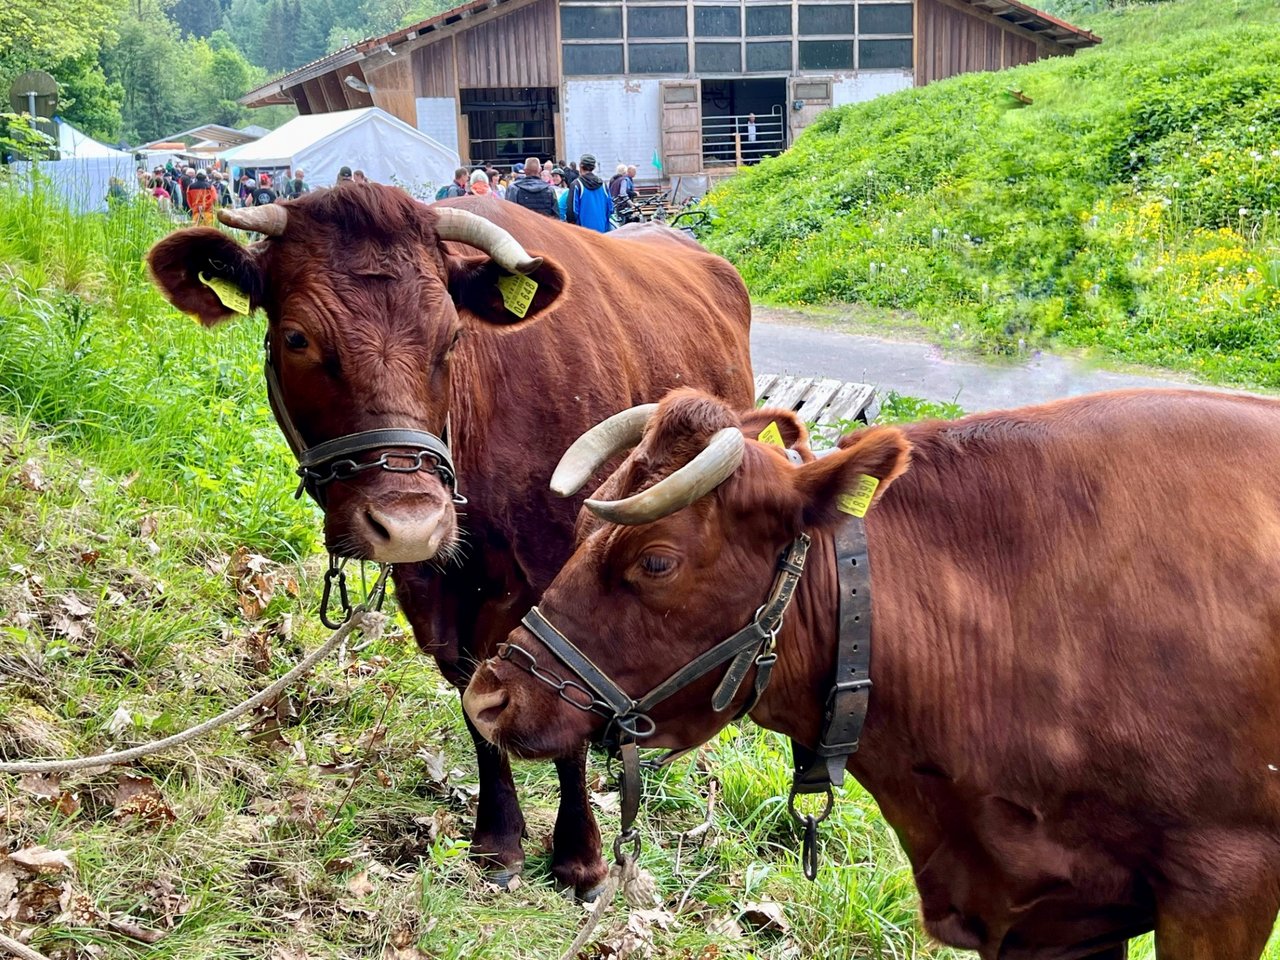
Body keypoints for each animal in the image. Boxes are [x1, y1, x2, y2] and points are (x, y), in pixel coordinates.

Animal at [146, 186, 754, 897]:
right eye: (295, 337)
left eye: (453, 338)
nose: (411, 522)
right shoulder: (433, 592)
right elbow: (475, 699)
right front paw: (498, 841)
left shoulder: (561, 580)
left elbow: (564, 709)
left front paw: (580, 857)